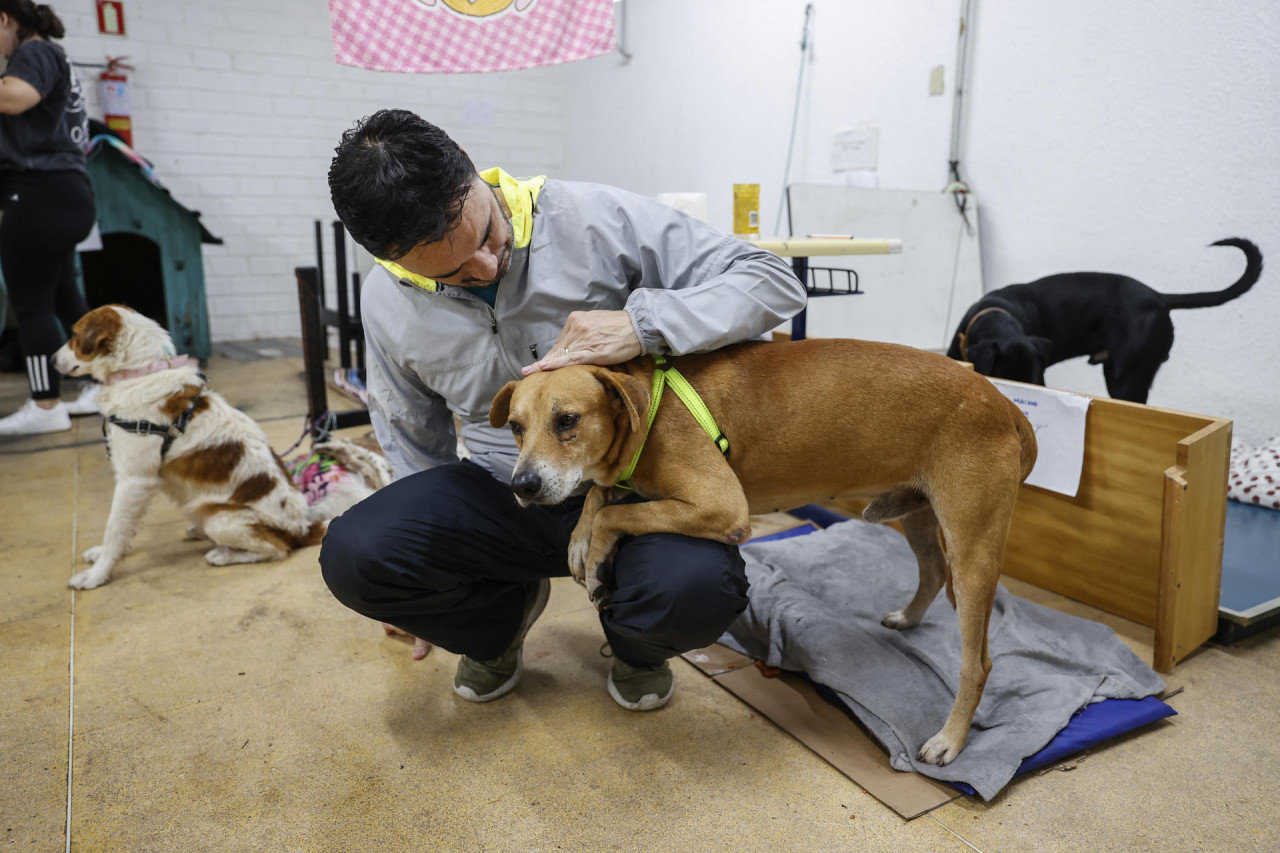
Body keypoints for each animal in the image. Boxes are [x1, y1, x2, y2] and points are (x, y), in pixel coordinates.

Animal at [53, 302, 325, 589]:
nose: (51, 360)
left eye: (74, 334)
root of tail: (305, 528)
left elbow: (114, 528)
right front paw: (104, 554)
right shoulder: (138, 485)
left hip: (219, 517)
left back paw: (224, 554)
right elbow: (126, 526)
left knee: (277, 549)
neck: (142, 372)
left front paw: (97, 574)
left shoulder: (134, 480)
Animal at [483, 335, 1034, 758]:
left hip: (973, 545)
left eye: (568, 421)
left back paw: (950, 740)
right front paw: (581, 540)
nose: (521, 486)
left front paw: (596, 551)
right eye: (515, 427)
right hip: (918, 513)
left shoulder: (723, 505)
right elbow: (602, 496)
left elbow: (618, 511)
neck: (647, 406)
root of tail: (1005, 402)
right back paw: (909, 618)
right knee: (933, 572)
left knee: (978, 664)